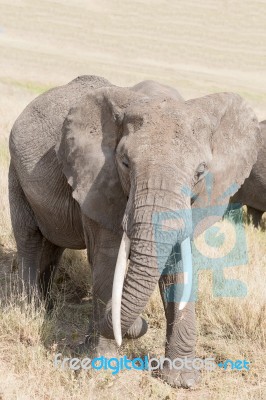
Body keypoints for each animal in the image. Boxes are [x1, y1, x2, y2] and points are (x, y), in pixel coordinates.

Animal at [7, 75, 260, 388]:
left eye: (201, 172)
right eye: (125, 163)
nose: (140, 324)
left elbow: (180, 266)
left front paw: (183, 380)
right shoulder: (99, 182)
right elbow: (107, 260)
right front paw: (100, 367)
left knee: (53, 246)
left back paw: (47, 307)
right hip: (15, 173)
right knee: (29, 238)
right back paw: (30, 309)